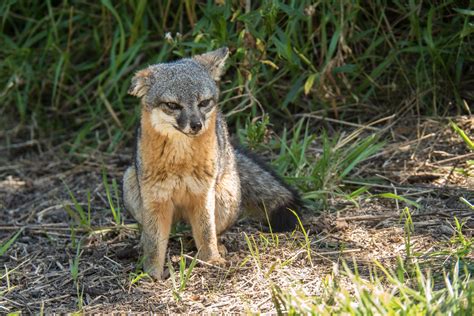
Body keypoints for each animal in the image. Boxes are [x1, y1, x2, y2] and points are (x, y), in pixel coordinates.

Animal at [122, 47, 300, 278]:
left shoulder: (203, 194)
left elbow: (207, 232)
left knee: (213, 231)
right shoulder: (155, 198)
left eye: (204, 103)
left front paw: (212, 260)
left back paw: (216, 247)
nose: (196, 125)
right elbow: (154, 243)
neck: (180, 161)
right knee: (148, 231)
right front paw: (151, 274)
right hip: (131, 186)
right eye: (172, 105)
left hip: (225, 199)